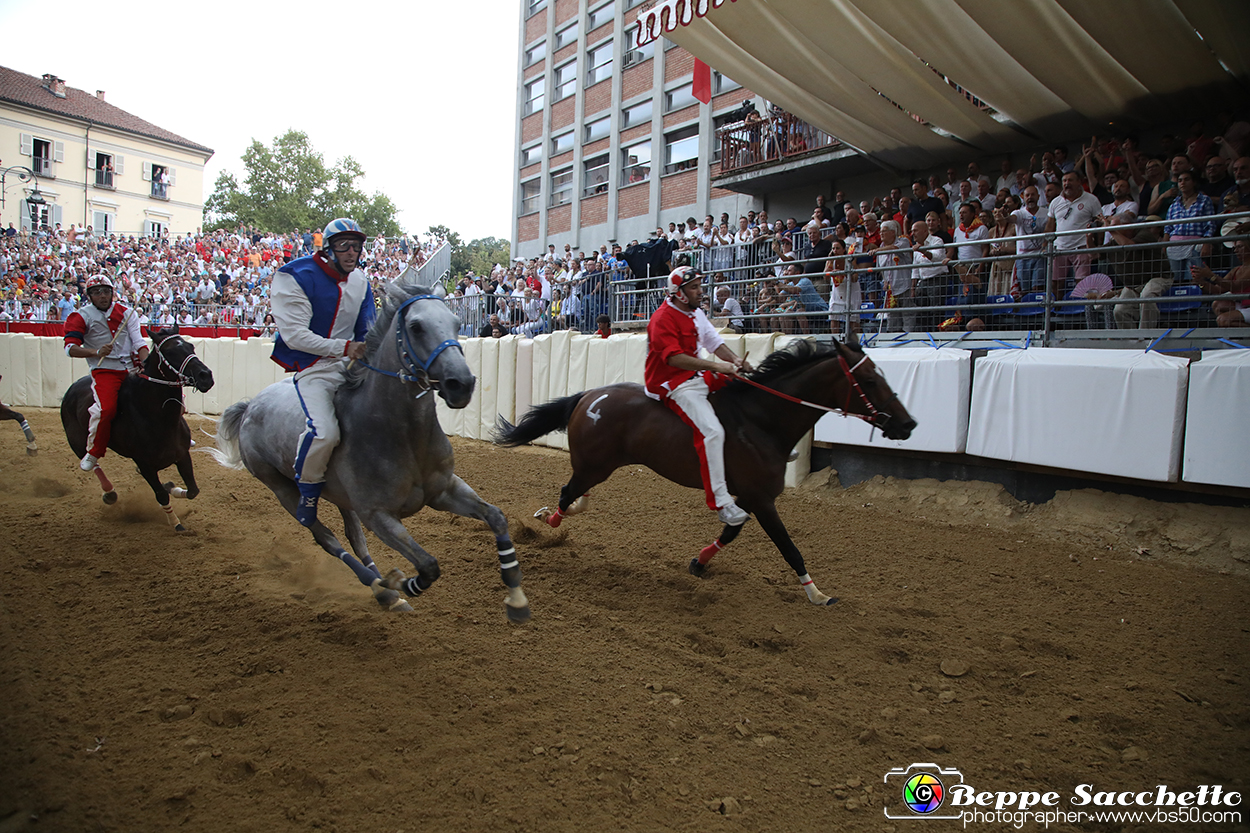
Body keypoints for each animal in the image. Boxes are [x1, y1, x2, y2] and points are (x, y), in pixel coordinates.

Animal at [211, 282, 532, 620]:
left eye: (457, 324)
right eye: (416, 327)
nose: (462, 383)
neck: (403, 436)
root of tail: (249, 407)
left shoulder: (444, 490)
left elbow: (496, 517)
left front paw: (516, 597)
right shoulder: (378, 514)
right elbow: (428, 566)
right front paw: (397, 582)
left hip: (342, 498)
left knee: (356, 539)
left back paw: (385, 594)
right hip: (283, 490)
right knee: (326, 537)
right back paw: (379, 586)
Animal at [492, 332, 915, 602]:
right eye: (869, 379)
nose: (907, 424)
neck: (761, 421)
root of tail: (589, 395)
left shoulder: (748, 498)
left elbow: (731, 531)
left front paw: (699, 563)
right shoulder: (762, 499)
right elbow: (788, 547)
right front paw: (816, 592)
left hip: (598, 467)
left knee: (575, 496)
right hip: (593, 466)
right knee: (567, 494)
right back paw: (547, 522)